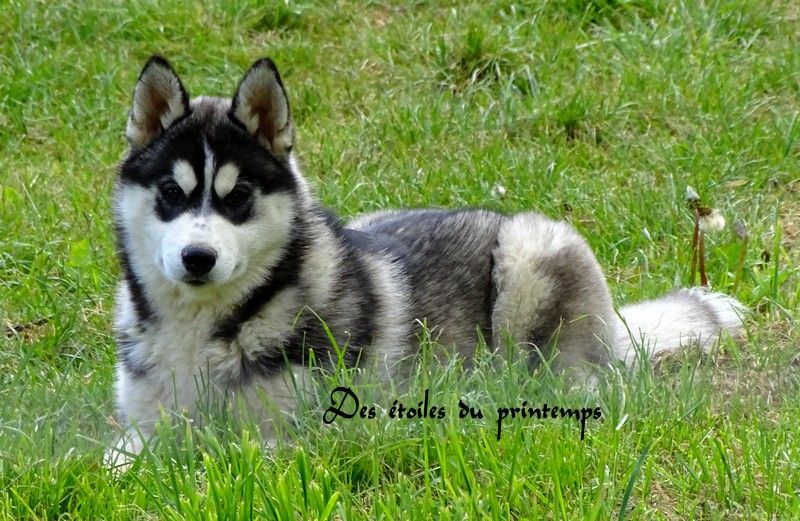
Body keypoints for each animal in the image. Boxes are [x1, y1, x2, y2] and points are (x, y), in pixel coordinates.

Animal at [108, 56, 745, 463]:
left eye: (237, 196)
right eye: (171, 192)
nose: (197, 257)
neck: (205, 328)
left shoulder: (295, 433)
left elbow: (219, 456)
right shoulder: (141, 425)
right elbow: (116, 460)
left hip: (529, 264)